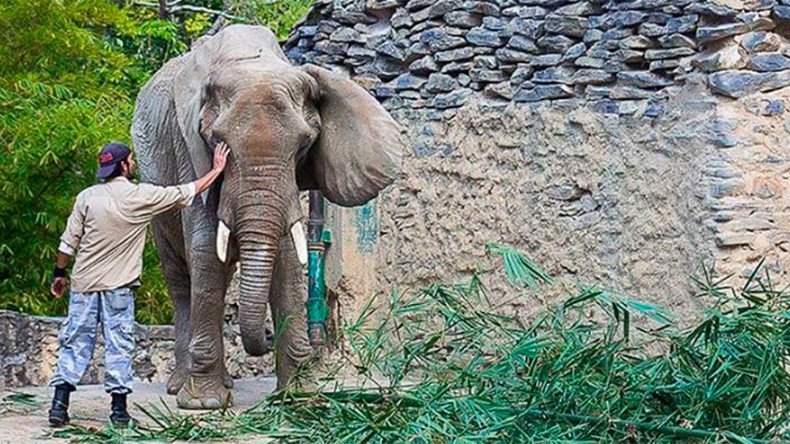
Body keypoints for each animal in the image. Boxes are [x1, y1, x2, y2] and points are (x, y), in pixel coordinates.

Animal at [131, 24, 403, 409]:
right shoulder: (187, 147)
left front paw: (299, 397)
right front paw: (203, 405)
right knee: (180, 274)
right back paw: (180, 386)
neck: (250, 62)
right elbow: (205, 249)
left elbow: (288, 256)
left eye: (304, 145)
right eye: (216, 142)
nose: (266, 335)